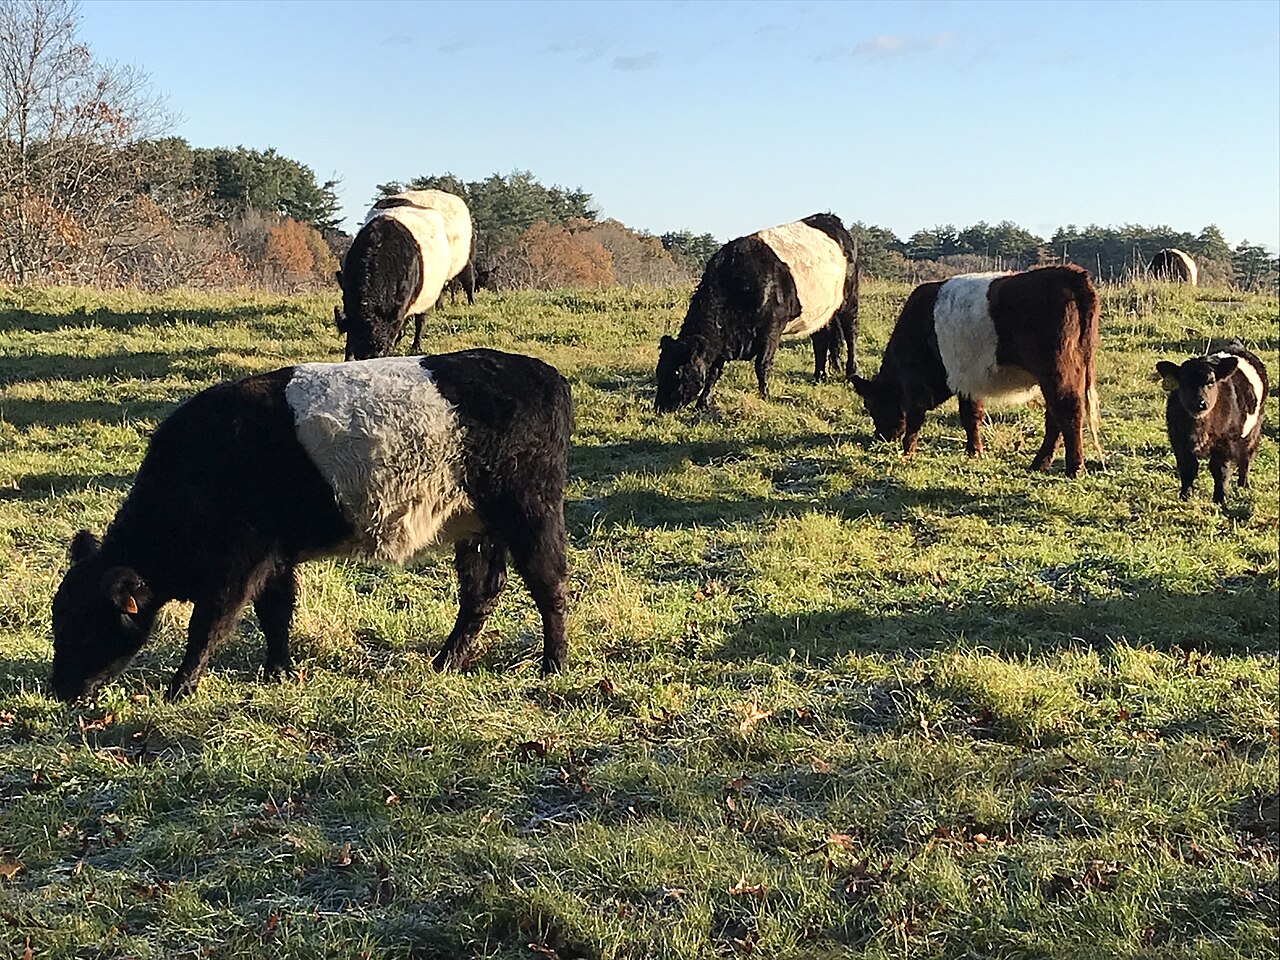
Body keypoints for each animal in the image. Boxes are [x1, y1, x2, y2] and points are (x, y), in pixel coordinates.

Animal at [50, 349, 573, 703]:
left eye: (87, 623)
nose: (61, 690)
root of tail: (545, 374)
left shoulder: (239, 561)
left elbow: (209, 625)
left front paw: (180, 689)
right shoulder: (275, 556)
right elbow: (276, 614)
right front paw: (278, 672)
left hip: (531, 511)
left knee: (549, 584)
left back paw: (554, 665)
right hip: (477, 526)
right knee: (481, 592)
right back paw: (446, 662)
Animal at [654, 213, 859, 412]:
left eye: (677, 372)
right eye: (659, 370)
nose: (659, 407)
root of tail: (831, 218)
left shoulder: (772, 329)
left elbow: (762, 365)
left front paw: (764, 396)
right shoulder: (723, 340)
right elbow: (714, 371)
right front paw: (702, 403)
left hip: (849, 299)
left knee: (851, 334)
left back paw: (852, 372)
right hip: (818, 312)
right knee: (821, 341)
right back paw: (819, 377)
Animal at [852, 265, 1102, 477]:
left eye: (871, 405)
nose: (881, 437)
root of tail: (1072, 274)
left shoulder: (916, 382)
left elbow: (915, 416)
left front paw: (907, 451)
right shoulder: (969, 380)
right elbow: (971, 415)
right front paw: (975, 452)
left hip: (1057, 370)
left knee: (1068, 411)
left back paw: (1074, 469)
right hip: (1065, 373)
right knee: (1055, 417)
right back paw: (1039, 464)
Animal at [1156, 343, 1268, 503]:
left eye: (1211, 382)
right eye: (1184, 382)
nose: (1201, 403)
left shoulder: (1225, 443)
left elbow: (1220, 470)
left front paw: (1220, 499)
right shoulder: (1179, 442)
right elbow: (1188, 469)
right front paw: (1185, 496)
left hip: (1253, 430)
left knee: (1245, 458)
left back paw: (1243, 486)